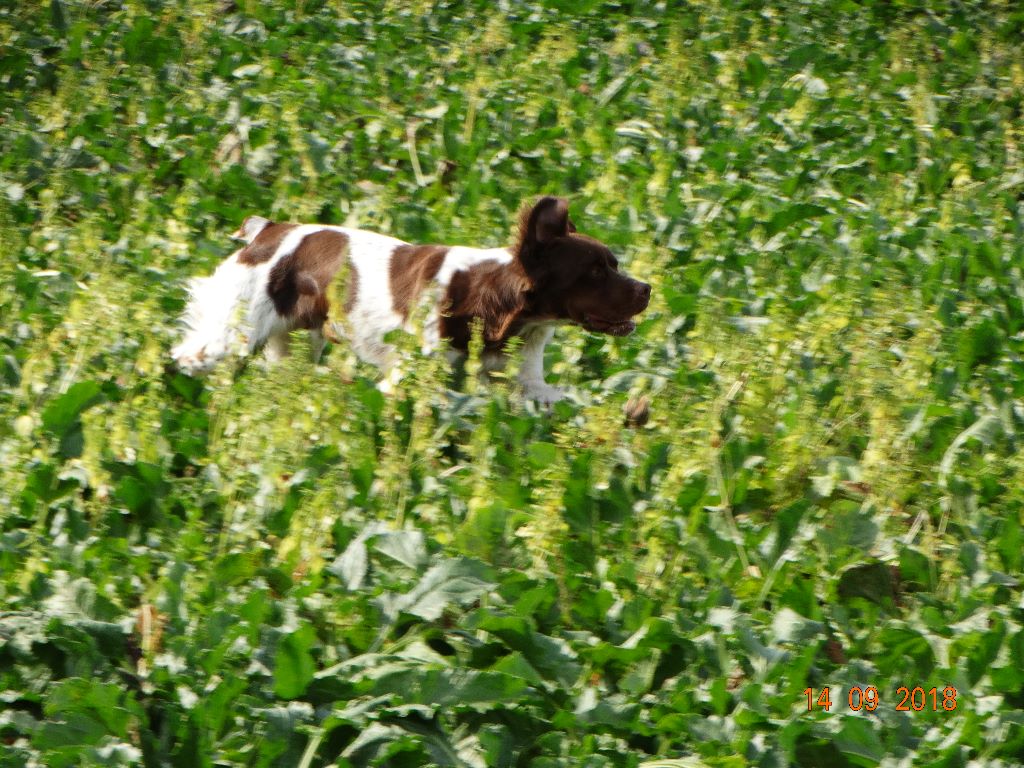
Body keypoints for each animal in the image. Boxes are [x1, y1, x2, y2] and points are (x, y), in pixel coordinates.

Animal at [167, 196, 647, 403]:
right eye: (596, 271)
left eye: (614, 263)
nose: (647, 290)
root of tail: (266, 231)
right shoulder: (407, 378)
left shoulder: (526, 382)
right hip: (233, 333)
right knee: (185, 358)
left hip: (294, 343)